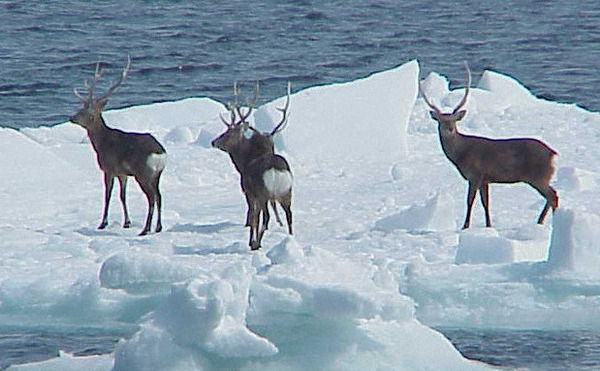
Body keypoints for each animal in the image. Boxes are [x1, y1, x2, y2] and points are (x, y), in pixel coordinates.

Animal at [70, 56, 166, 237]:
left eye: (89, 114)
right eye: (81, 108)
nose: (71, 117)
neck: (101, 143)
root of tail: (160, 154)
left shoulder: (109, 169)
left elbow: (107, 195)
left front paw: (103, 223)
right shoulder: (123, 173)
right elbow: (122, 196)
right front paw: (126, 222)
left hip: (143, 173)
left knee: (151, 197)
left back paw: (145, 229)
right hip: (157, 175)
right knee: (159, 196)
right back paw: (158, 227)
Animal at [212, 81, 294, 250]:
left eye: (227, 133)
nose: (213, 142)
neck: (244, 162)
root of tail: (277, 171)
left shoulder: (248, 191)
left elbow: (252, 216)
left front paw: (251, 240)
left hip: (264, 193)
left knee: (266, 217)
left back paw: (257, 243)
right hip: (286, 192)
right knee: (289, 214)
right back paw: (290, 238)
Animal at [422, 64, 556, 230]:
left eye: (454, 120)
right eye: (441, 121)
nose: (450, 129)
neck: (460, 155)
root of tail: (552, 154)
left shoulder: (475, 175)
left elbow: (470, 201)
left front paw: (465, 226)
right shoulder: (485, 179)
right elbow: (486, 203)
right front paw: (488, 225)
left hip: (539, 176)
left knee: (553, 195)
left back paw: (546, 221)